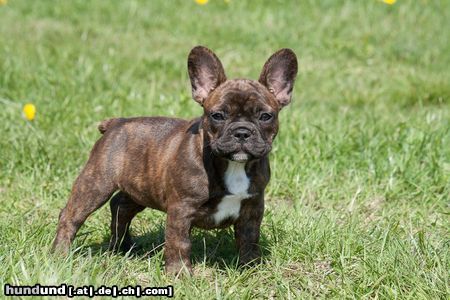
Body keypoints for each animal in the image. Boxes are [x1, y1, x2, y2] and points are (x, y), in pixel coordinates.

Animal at [52, 46, 298, 274]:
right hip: (96, 184)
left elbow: (249, 241)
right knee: (71, 216)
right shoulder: (181, 209)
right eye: (217, 115)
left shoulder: (252, 208)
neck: (232, 165)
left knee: (120, 205)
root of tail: (116, 123)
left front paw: (251, 268)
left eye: (265, 116)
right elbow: (179, 242)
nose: (242, 132)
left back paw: (122, 246)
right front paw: (180, 274)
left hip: (142, 187)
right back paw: (60, 255)